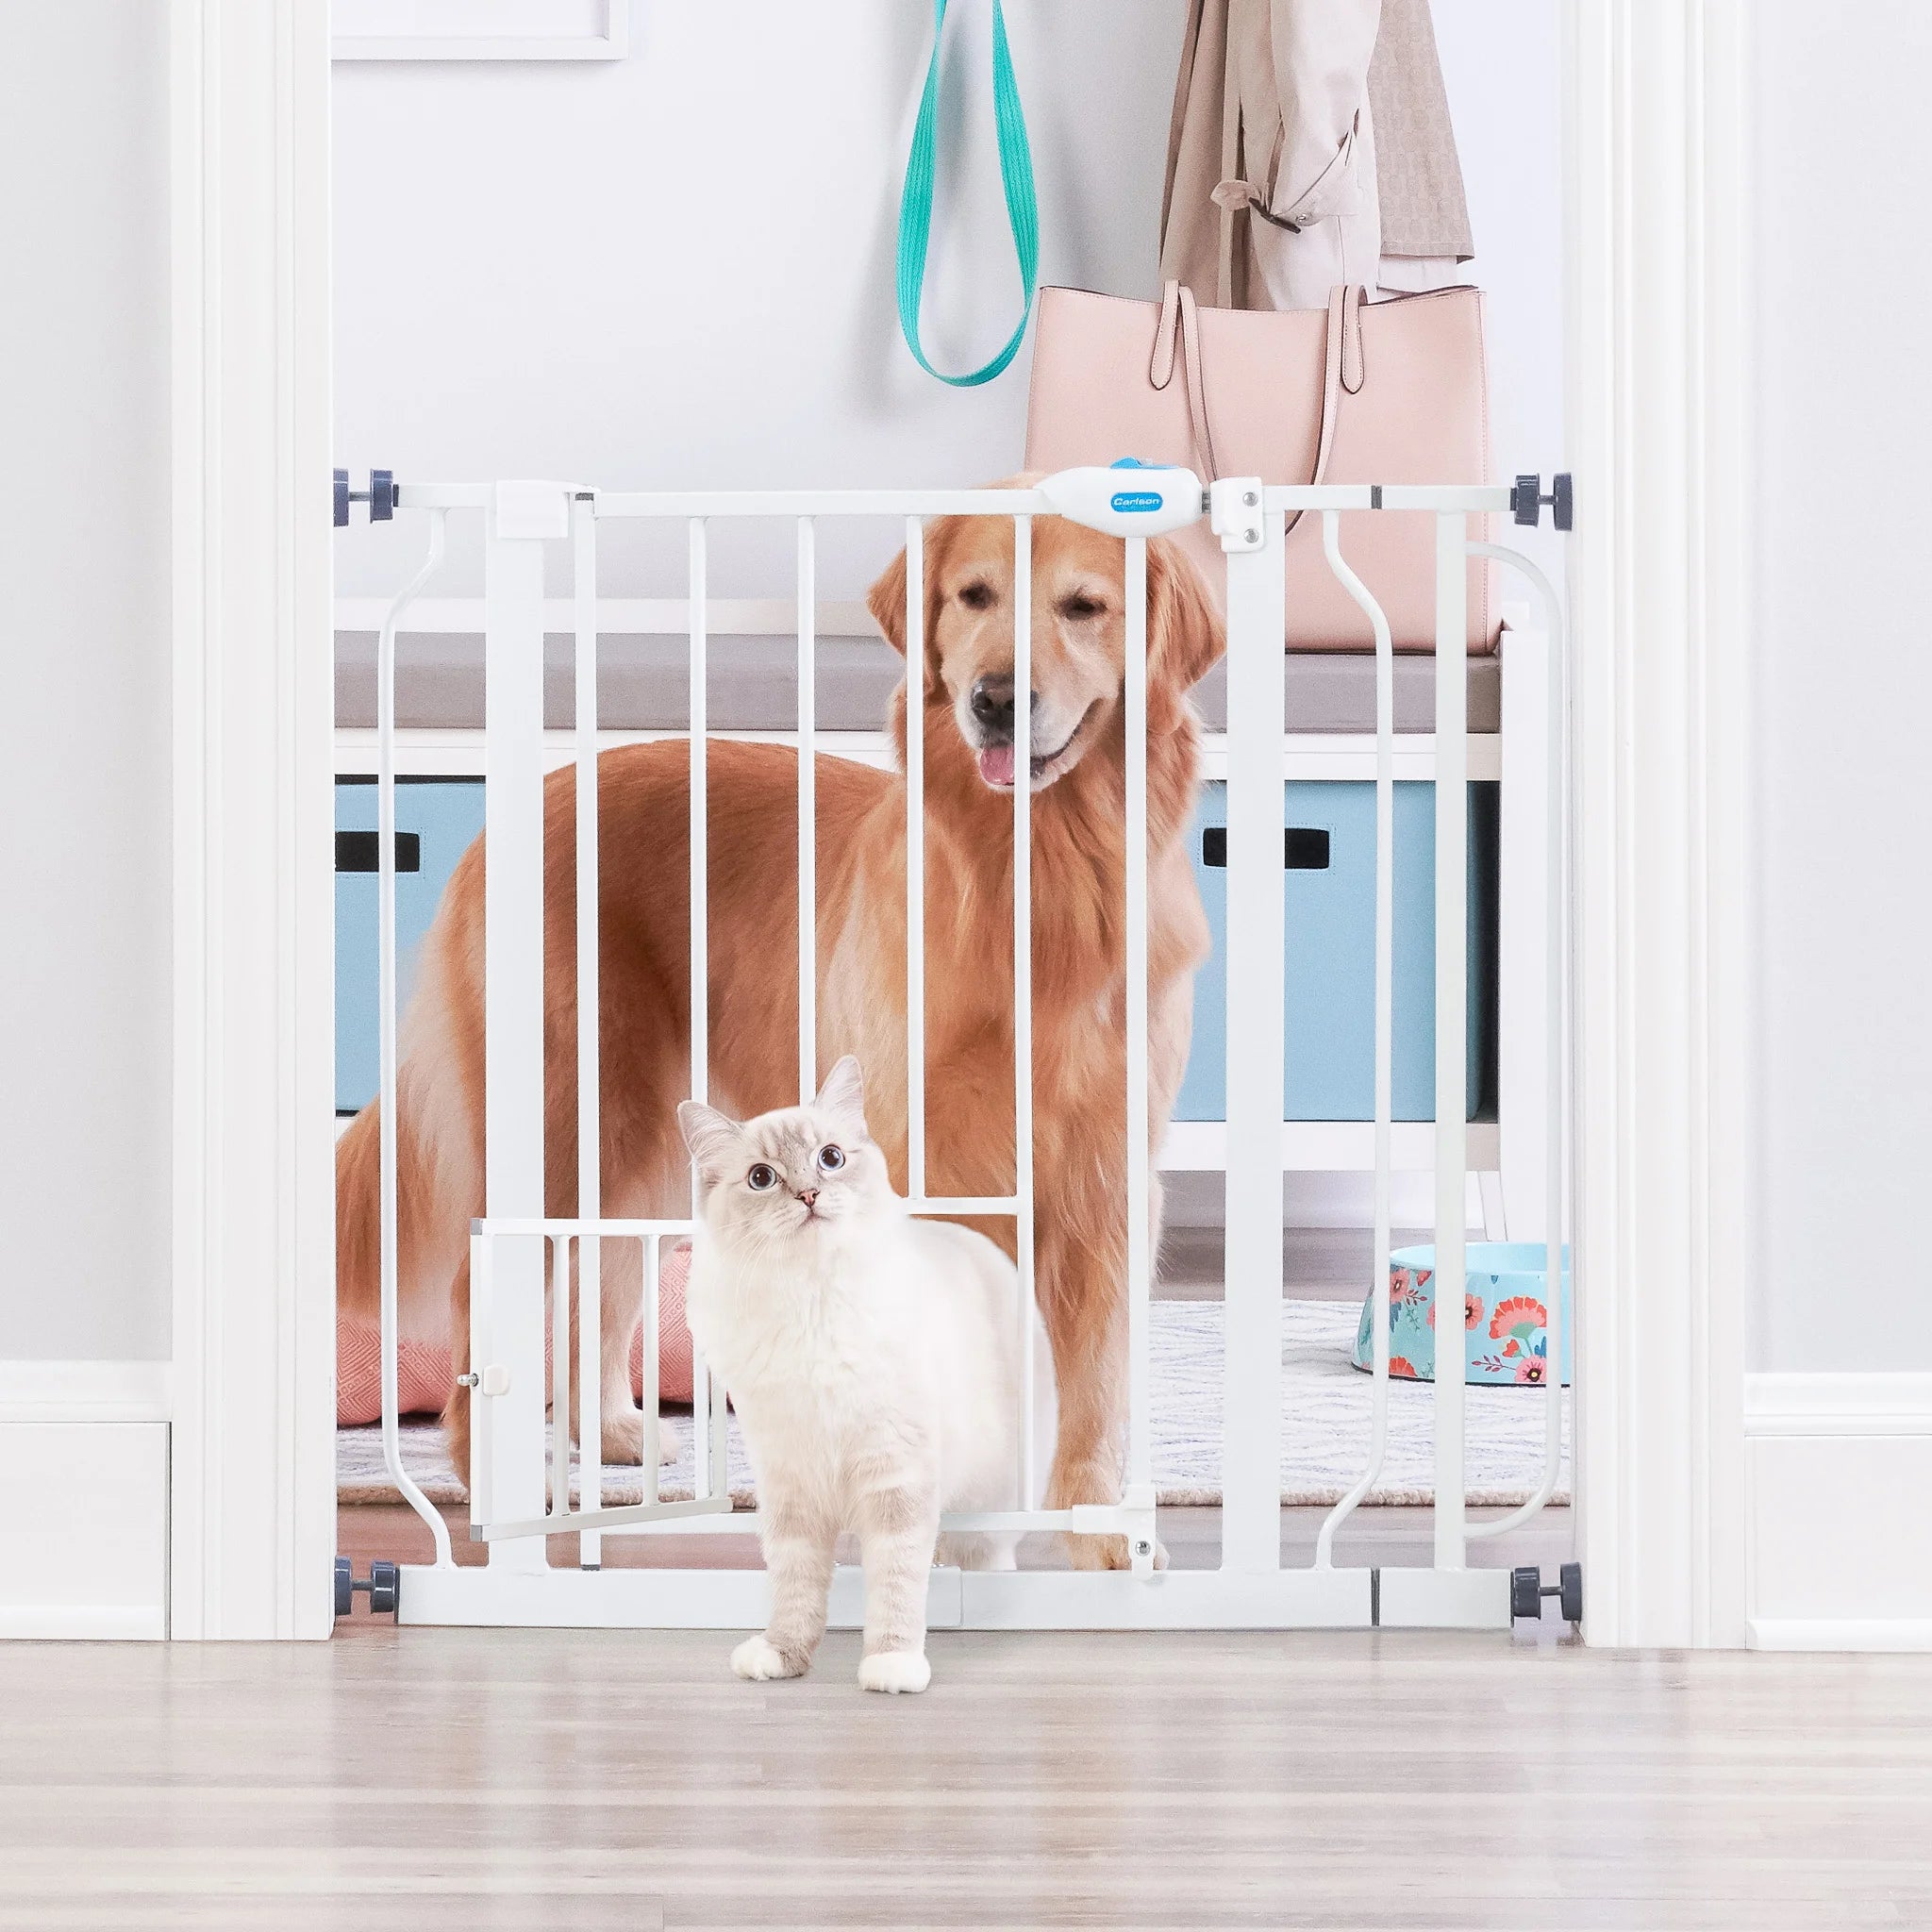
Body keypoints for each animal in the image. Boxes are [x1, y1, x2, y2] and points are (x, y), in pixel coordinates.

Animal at [340, 498, 1221, 1568]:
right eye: (973, 595)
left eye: (1083, 607)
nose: (994, 701)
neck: (1038, 883)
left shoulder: (1104, 1177)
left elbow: (1092, 1386)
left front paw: (1096, 1541)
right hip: (569, 1115)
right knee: (489, 1291)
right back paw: (498, 1475)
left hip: (644, 1139)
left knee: (602, 1279)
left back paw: (616, 1430)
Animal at [672, 1066, 1051, 1700]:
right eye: (761, 1178)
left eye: (830, 1158)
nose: (808, 1195)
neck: (811, 1302)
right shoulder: (791, 1485)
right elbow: (795, 1586)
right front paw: (782, 1655)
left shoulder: (895, 1474)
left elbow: (896, 1586)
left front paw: (892, 1665)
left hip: (993, 1506)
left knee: (986, 1558)